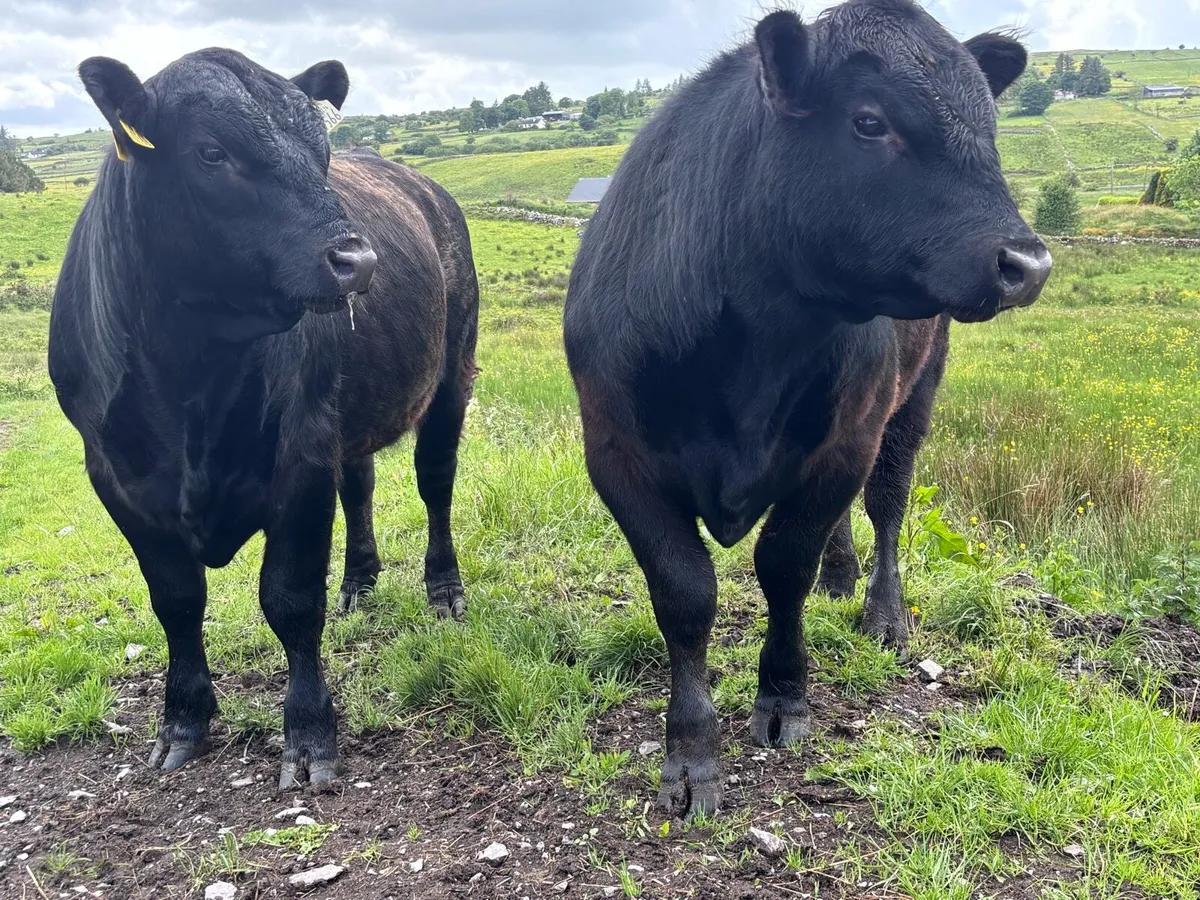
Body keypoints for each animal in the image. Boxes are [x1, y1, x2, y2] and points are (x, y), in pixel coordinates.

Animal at [48, 49, 479, 788]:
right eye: (211, 152)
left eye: (322, 152)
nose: (357, 259)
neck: (187, 378)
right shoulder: (114, 477)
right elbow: (175, 601)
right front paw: (183, 720)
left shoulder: (300, 455)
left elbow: (290, 598)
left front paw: (308, 734)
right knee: (359, 485)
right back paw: (359, 584)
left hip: (452, 371)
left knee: (436, 481)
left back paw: (442, 589)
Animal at [563, 0, 1052, 819]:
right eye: (868, 121)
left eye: (988, 126)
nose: (1028, 263)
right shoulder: (617, 455)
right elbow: (685, 593)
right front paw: (690, 751)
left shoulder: (845, 441)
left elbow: (783, 564)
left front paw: (784, 697)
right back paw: (841, 574)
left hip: (913, 397)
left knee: (887, 503)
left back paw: (882, 611)